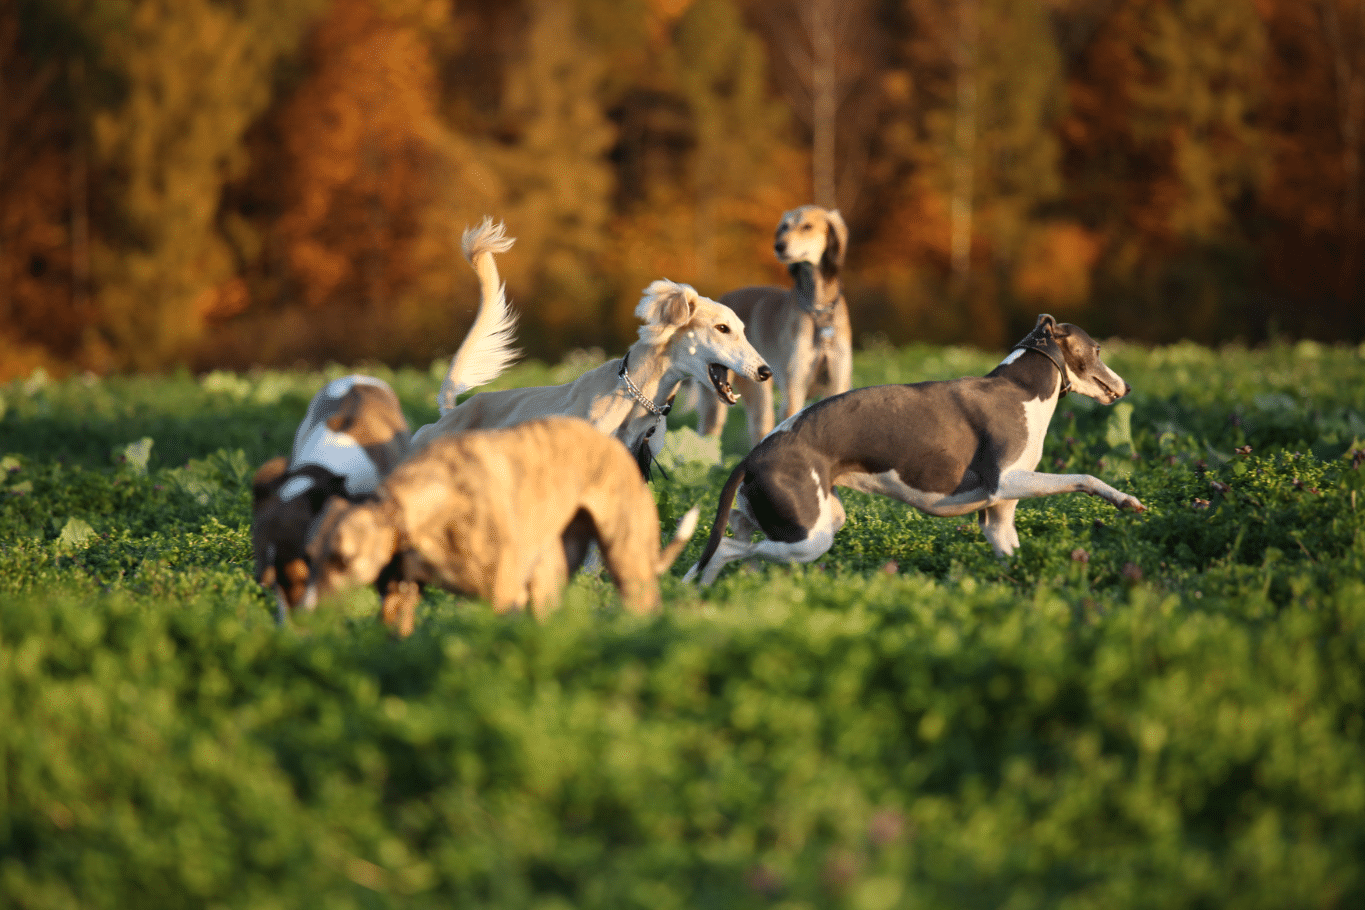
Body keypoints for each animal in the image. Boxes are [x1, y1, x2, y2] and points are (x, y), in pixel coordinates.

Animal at [305, 417, 698, 638]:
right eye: (309, 558)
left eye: (343, 558)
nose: (305, 618)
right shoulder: (400, 596)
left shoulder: (502, 599)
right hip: (550, 574)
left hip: (627, 562)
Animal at [687, 313, 1146, 583]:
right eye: (1098, 349)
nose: (1127, 387)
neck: (1022, 387)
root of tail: (752, 457)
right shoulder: (1007, 480)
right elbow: (1084, 476)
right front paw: (1125, 499)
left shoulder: (997, 518)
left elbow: (1012, 555)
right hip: (810, 537)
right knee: (727, 549)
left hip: (807, 520)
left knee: (736, 541)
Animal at [698, 206, 846, 447]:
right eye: (784, 227)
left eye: (807, 226)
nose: (779, 246)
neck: (818, 309)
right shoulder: (794, 390)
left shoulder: (838, 383)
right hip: (725, 396)